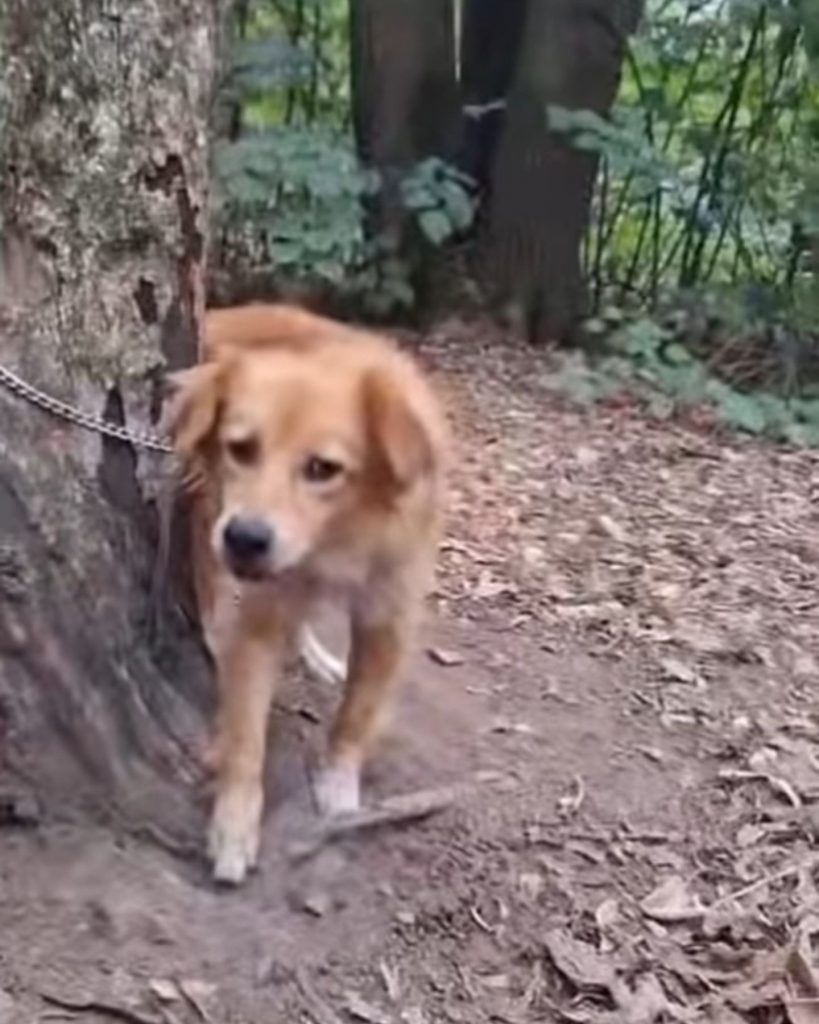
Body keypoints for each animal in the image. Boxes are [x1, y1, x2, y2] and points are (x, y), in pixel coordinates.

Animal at [165, 301, 448, 880]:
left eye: (323, 468)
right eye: (241, 448)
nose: (246, 539)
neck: (336, 539)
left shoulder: (389, 617)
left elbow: (357, 712)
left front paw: (339, 785)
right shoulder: (259, 617)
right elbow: (246, 738)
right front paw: (234, 825)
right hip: (205, 512)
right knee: (209, 585)